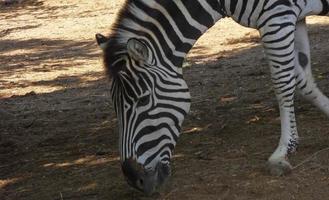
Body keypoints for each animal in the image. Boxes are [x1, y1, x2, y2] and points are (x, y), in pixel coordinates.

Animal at [95, 0, 328, 195]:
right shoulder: (292, 18)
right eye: (114, 106)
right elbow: (302, 78)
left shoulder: (277, 16)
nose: (133, 180)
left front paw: (282, 153)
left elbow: (283, 82)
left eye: (142, 100)